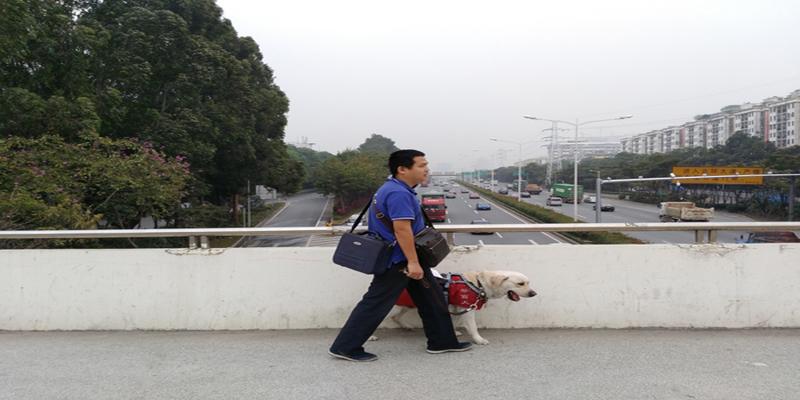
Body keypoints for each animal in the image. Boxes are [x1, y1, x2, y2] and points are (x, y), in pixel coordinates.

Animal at [370, 270, 536, 346]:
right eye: (520, 284)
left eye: (528, 283)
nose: (534, 293)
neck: (480, 283)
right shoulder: (468, 309)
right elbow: (473, 327)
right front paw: (479, 340)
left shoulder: (456, 307)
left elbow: (453, 322)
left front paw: (455, 332)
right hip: (396, 307)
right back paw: (370, 336)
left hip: (406, 305)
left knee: (396, 317)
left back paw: (406, 326)